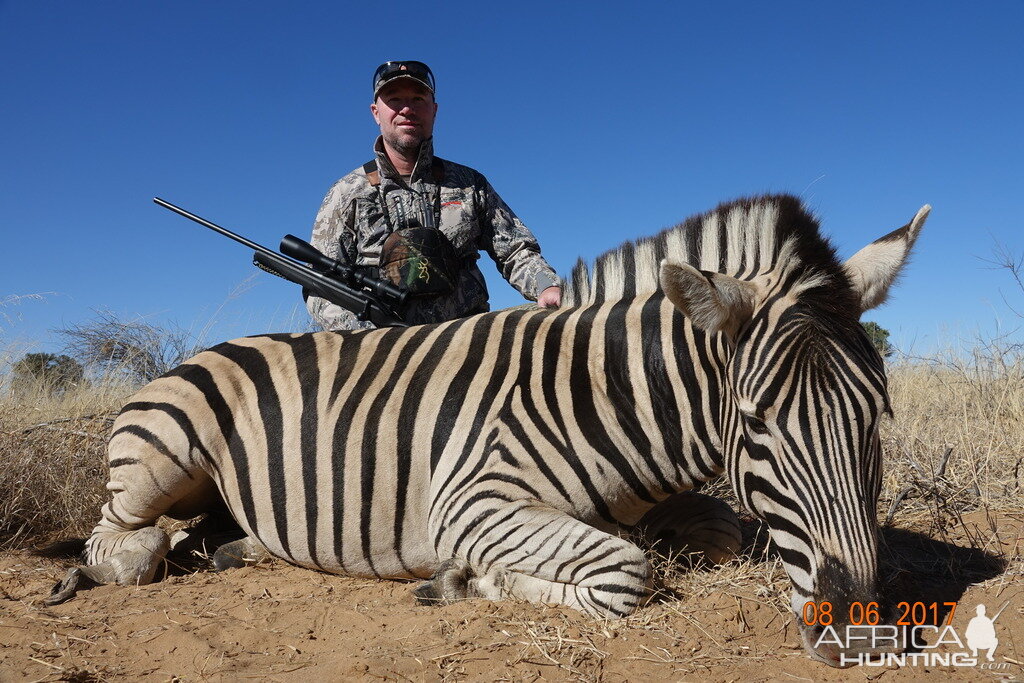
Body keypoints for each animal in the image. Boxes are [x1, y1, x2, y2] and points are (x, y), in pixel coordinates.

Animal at [46, 193, 929, 667]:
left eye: (876, 415)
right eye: (755, 420)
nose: (859, 630)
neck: (606, 394)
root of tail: (200, 352)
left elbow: (722, 531)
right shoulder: (473, 501)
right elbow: (625, 571)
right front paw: (462, 581)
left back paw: (241, 547)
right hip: (162, 456)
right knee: (117, 541)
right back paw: (135, 556)